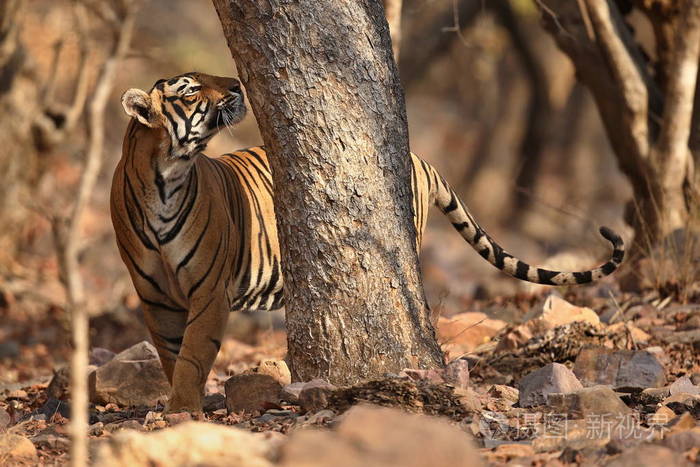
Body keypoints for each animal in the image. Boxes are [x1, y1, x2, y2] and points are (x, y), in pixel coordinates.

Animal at [112, 71, 628, 412]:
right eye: (191, 89)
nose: (238, 85)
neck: (165, 176)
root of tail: (419, 156)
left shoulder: (210, 290)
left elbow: (194, 353)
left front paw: (183, 410)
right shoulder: (155, 295)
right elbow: (172, 353)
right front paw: (180, 404)